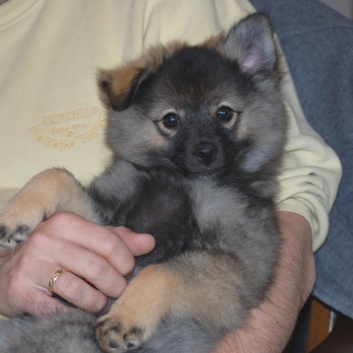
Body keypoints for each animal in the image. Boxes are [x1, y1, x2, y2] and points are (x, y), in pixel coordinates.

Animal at [0, 12, 286, 350]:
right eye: (171, 120)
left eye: (224, 113)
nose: (206, 153)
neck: (180, 179)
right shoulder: (107, 222)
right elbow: (56, 176)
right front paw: (14, 215)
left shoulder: (237, 266)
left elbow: (162, 272)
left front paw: (126, 317)